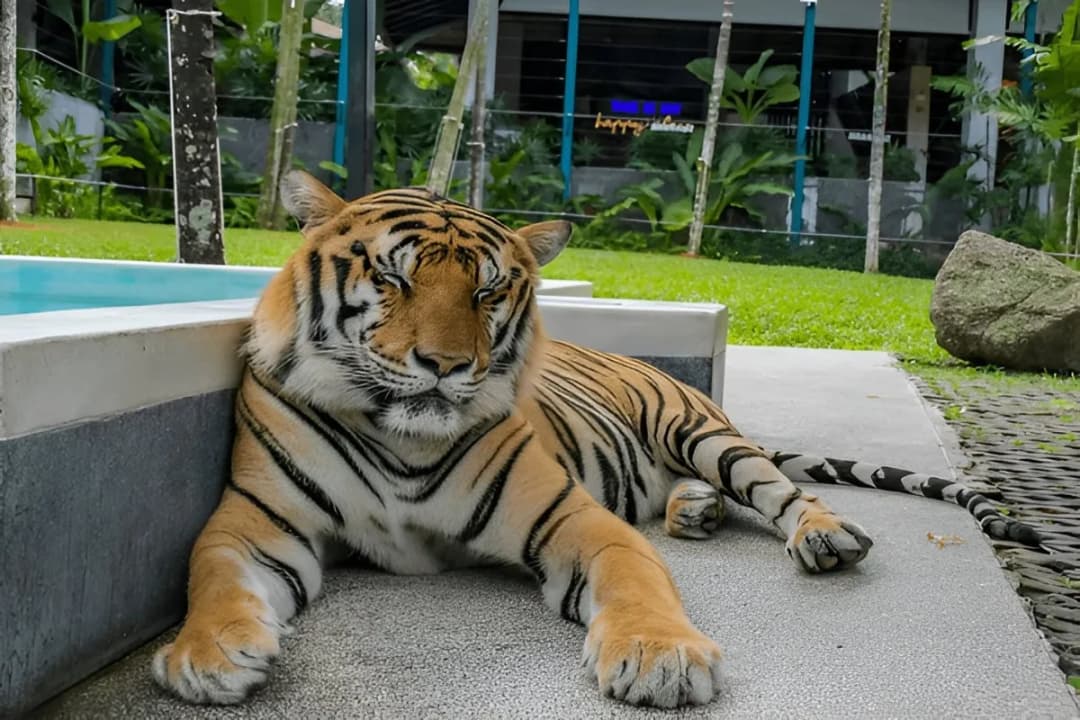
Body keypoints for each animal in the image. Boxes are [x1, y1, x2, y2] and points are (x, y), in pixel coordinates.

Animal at [151, 170, 1045, 710]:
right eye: (394, 276)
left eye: (489, 290)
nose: (446, 366)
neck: (398, 436)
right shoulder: (253, 525)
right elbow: (209, 575)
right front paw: (206, 655)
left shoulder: (574, 518)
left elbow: (635, 580)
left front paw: (659, 657)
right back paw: (695, 514)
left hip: (700, 430)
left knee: (782, 491)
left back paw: (822, 535)